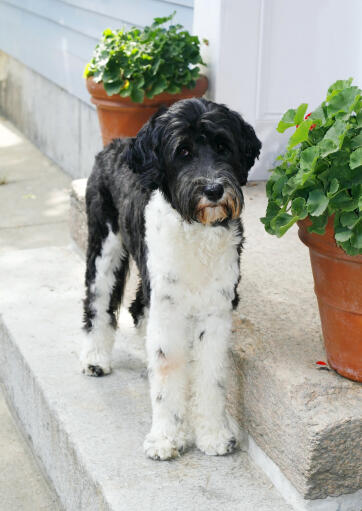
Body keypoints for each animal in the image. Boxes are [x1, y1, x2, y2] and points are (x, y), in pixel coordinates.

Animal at [80, 98, 260, 462]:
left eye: (223, 146)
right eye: (183, 151)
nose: (213, 189)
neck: (196, 230)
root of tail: (115, 144)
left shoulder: (215, 311)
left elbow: (211, 374)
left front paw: (213, 435)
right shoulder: (168, 311)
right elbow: (168, 370)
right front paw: (165, 438)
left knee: (137, 307)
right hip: (104, 244)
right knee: (97, 299)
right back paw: (95, 358)